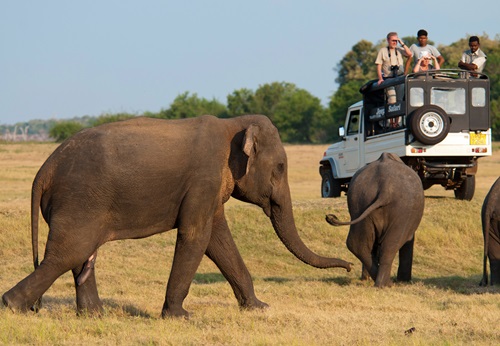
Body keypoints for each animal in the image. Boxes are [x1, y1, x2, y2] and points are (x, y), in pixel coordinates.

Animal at [0, 115, 352, 318]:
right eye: (280, 168)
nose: (348, 268)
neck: (232, 123)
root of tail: (44, 171)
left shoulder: (211, 188)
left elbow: (217, 238)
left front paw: (258, 308)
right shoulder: (204, 179)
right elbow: (196, 235)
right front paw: (179, 315)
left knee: (81, 255)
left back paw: (95, 315)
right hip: (79, 200)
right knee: (67, 254)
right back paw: (13, 306)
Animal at [326, 153, 424, 288]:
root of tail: (385, 189)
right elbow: (408, 241)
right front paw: (404, 281)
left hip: (360, 201)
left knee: (357, 243)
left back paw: (378, 280)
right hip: (403, 210)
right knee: (390, 244)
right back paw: (385, 284)